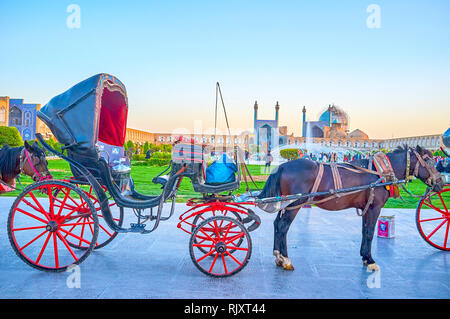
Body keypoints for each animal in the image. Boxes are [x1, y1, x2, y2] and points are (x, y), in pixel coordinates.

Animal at [258, 146, 444, 272]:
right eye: (429, 161)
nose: (441, 183)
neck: (381, 172)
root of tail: (282, 166)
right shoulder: (375, 207)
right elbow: (369, 232)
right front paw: (370, 260)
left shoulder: (367, 207)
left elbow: (364, 231)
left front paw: (365, 257)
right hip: (294, 203)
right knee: (283, 226)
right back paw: (286, 259)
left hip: (286, 203)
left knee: (277, 224)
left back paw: (278, 256)